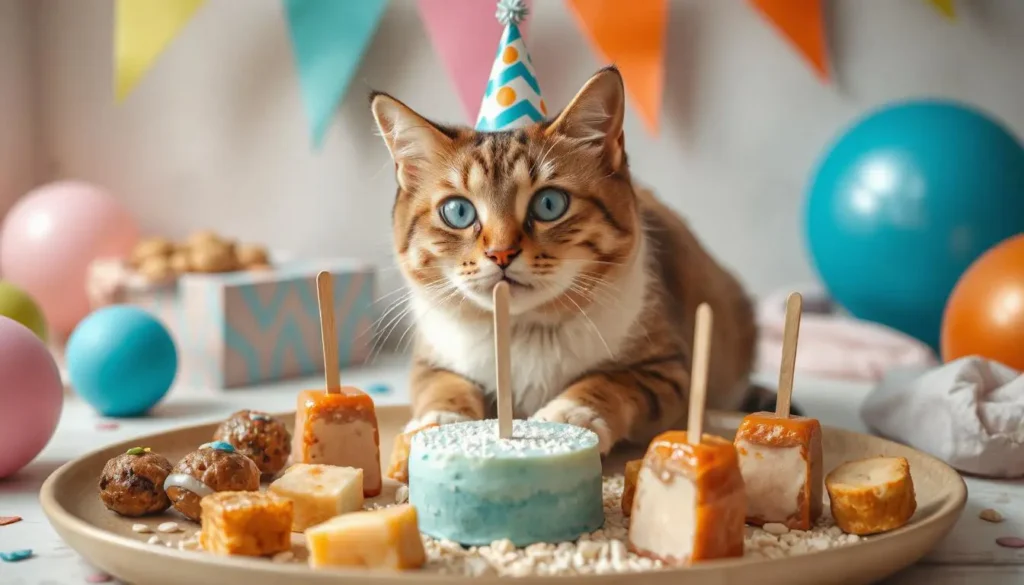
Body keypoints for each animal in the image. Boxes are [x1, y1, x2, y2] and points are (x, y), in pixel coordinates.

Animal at [368, 66, 770, 454]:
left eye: (549, 204)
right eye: (458, 212)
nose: (501, 253)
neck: (523, 331)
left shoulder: (668, 369)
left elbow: (608, 381)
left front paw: (569, 414)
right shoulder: (430, 361)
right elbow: (443, 387)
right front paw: (439, 422)